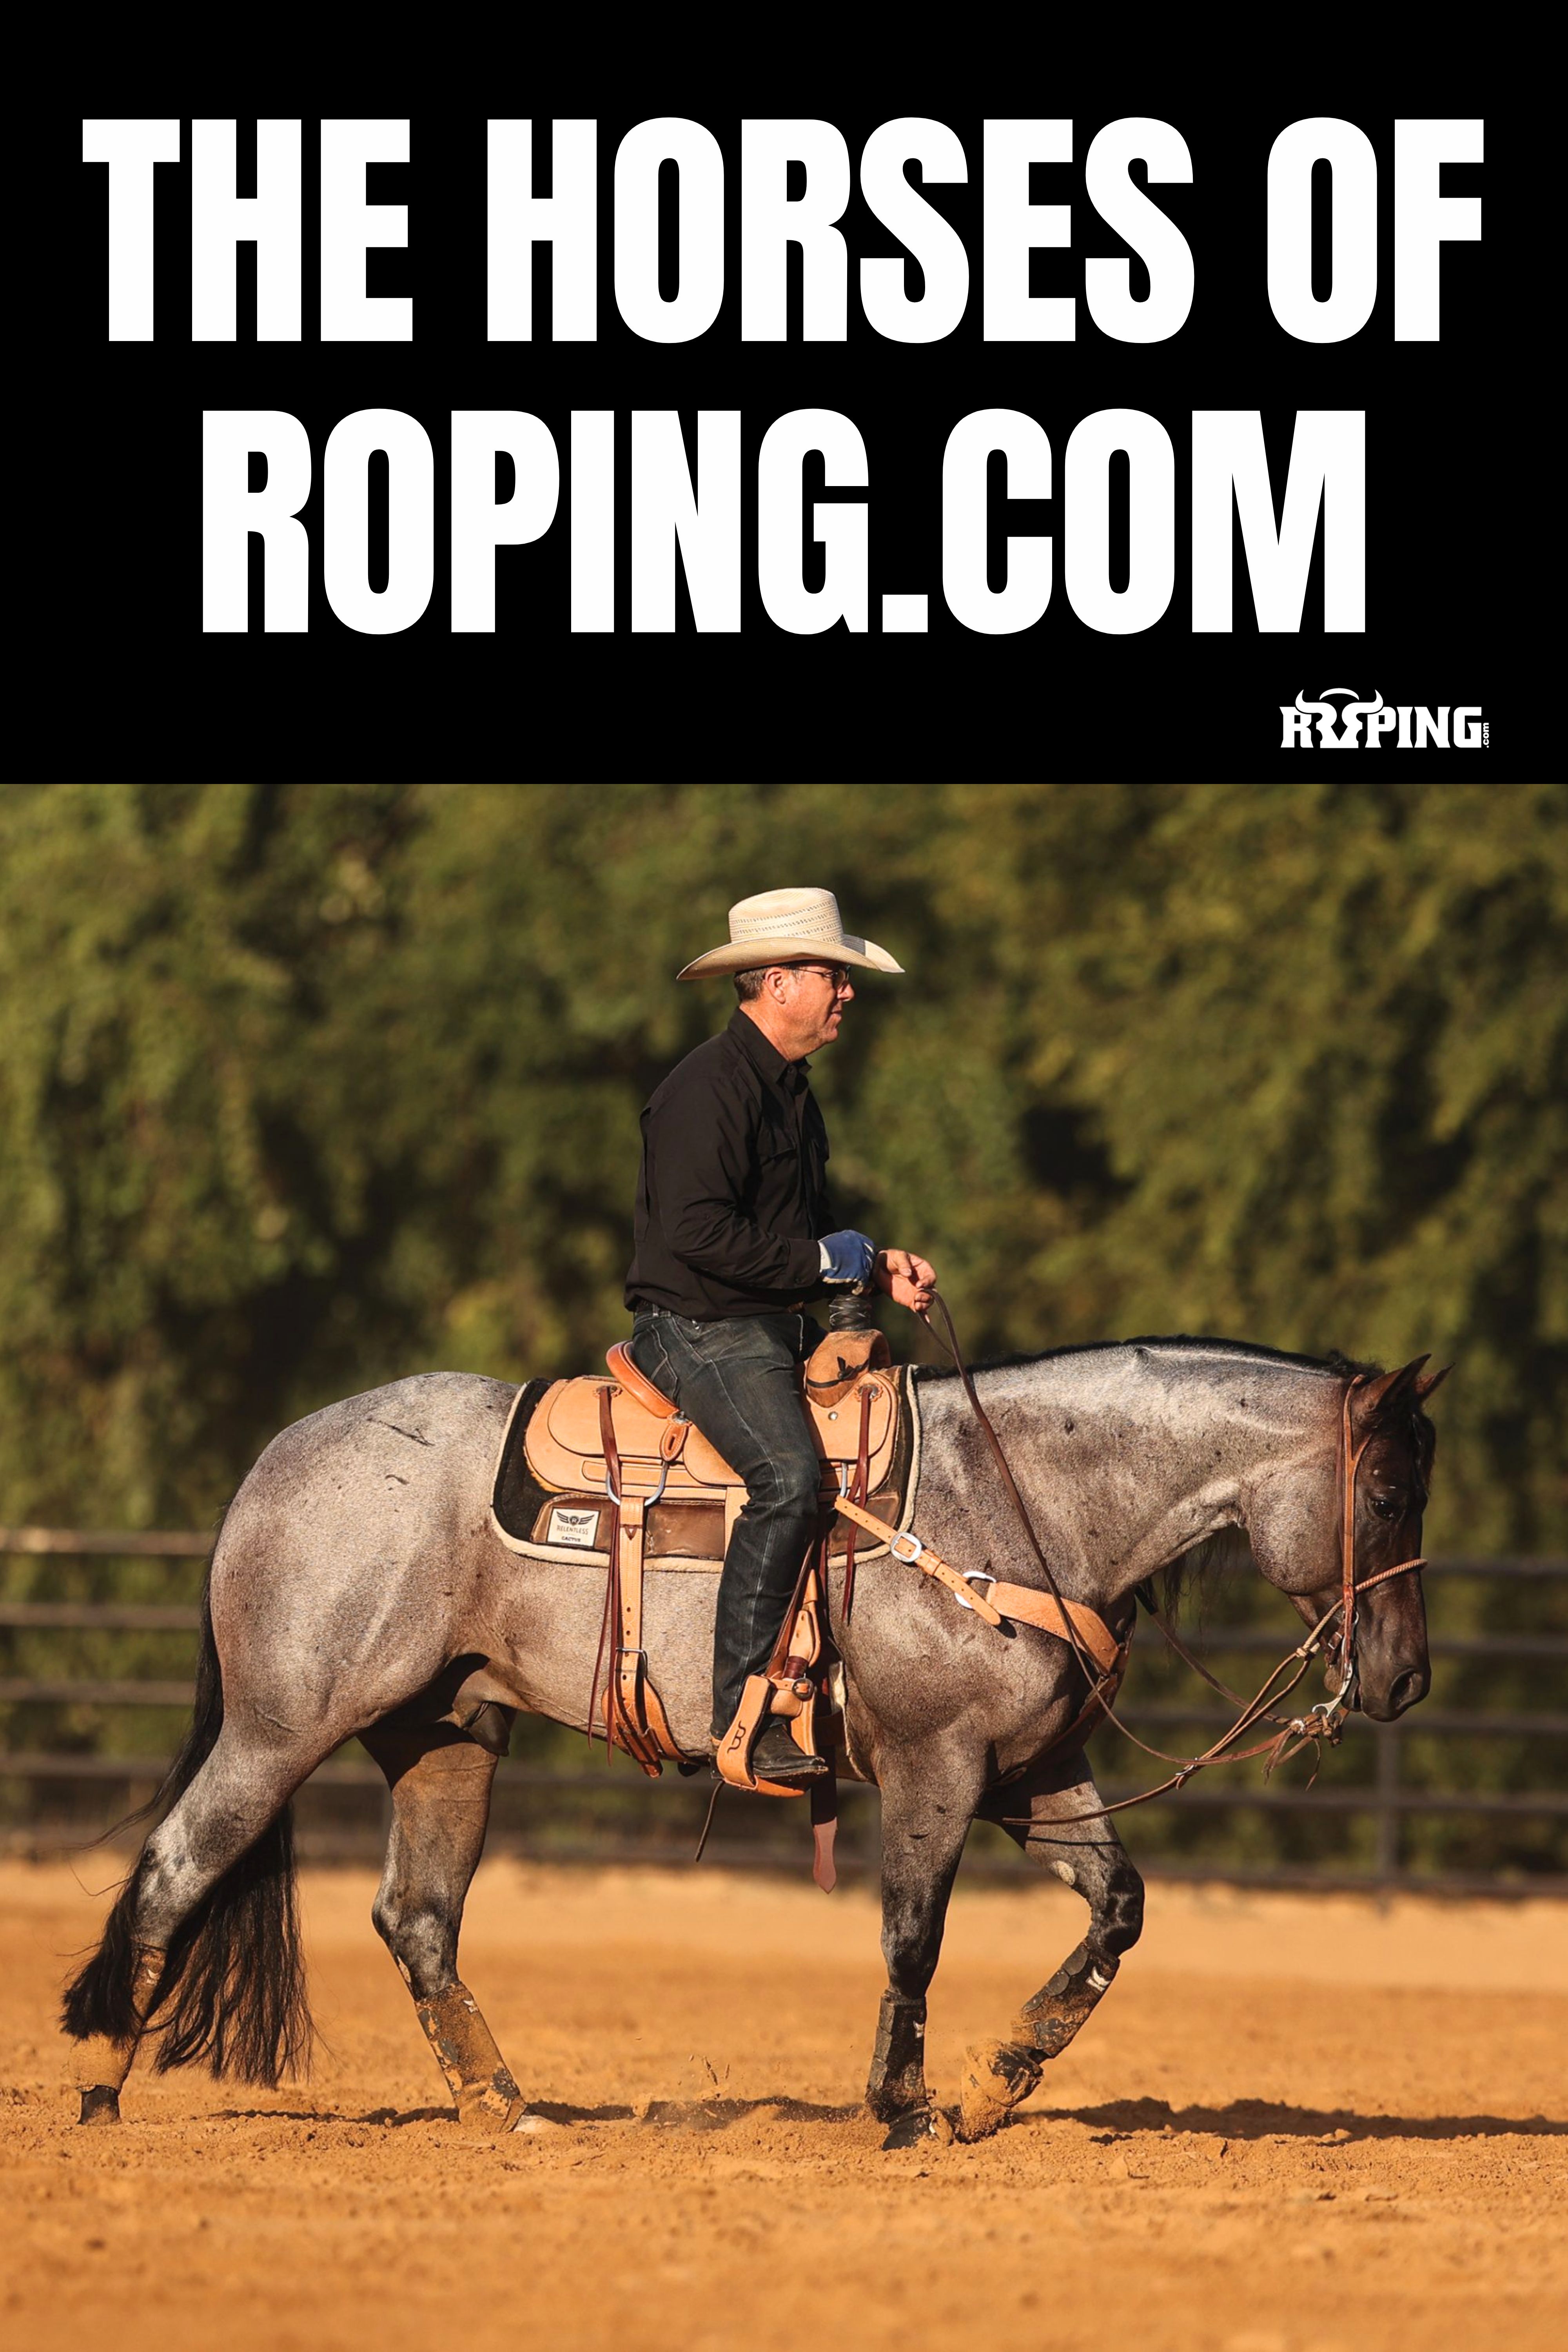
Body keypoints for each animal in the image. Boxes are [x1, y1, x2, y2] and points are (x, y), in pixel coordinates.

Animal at [62, 1335, 1444, 2144]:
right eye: (1385, 1492)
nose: (1406, 1677)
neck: (1017, 1504)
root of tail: (280, 1458)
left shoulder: (1035, 1772)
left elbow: (1119, 1910)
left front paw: (999, 2081)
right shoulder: (936, 1768)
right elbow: (912, 1934)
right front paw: (902, 2107)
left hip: (445, 1735)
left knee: (417, 1918)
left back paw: (506, 2110)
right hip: (279, 1728)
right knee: (179, 1869)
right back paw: (99, 2085)